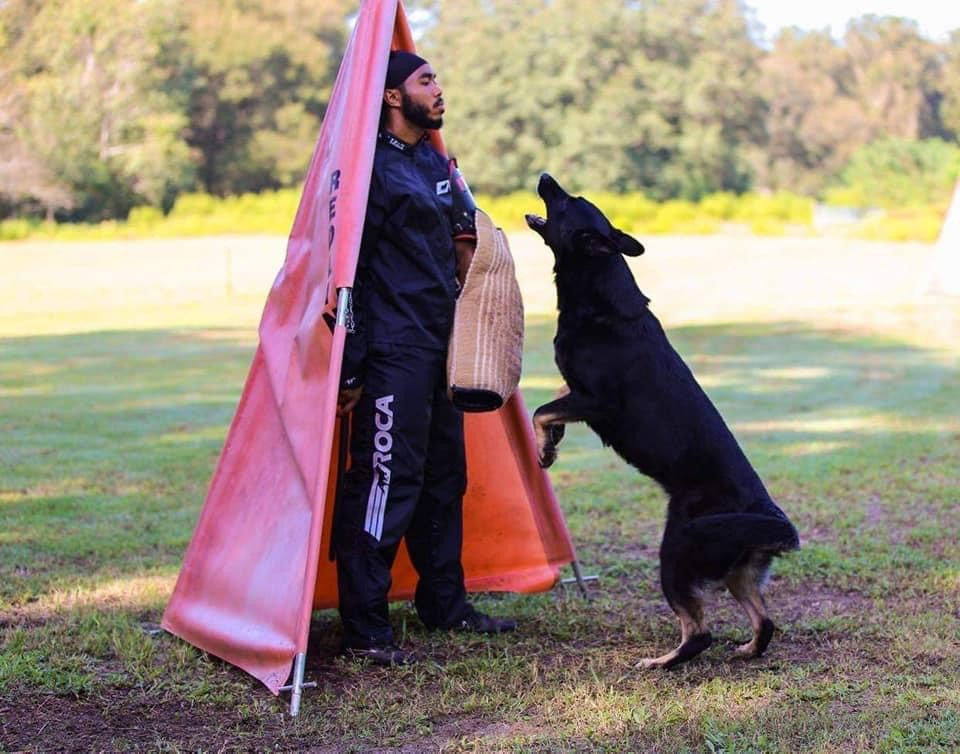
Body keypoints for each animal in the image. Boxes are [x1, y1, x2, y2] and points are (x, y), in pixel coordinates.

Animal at [526, 173, 800, 669]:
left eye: (568, 202)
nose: (545, 177)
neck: (599, 293)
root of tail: (769, 514)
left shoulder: (597, 401)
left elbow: (541, 409)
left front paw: (544, 444)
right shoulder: (577, 394)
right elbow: (553, 404)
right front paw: (551, 442)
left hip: (677, 551)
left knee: (699, 633)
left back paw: (662, 663)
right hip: (732, 570)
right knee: (764, 621)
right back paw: (747, 650)